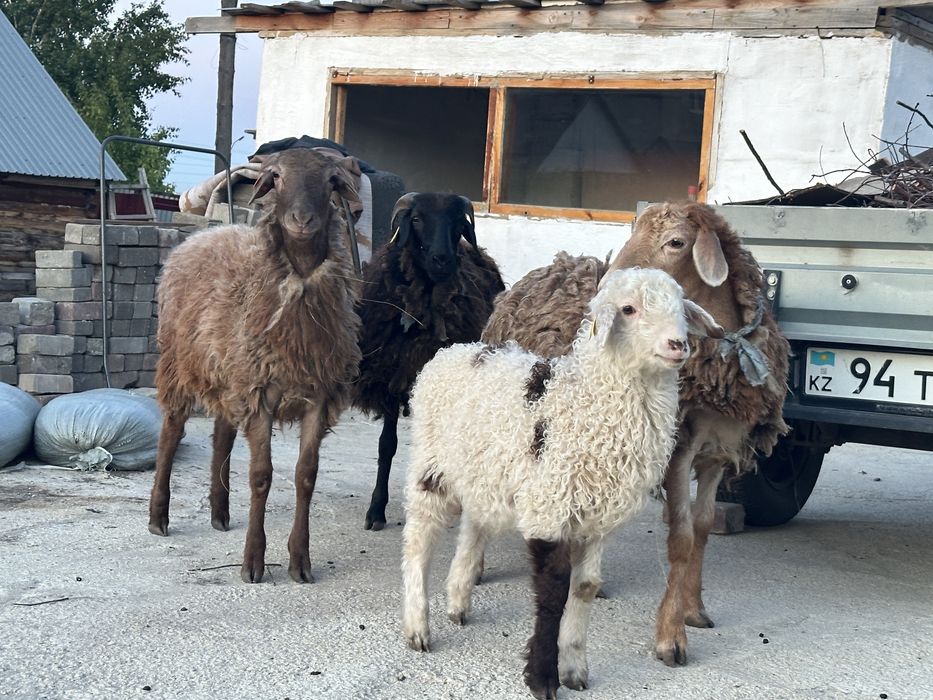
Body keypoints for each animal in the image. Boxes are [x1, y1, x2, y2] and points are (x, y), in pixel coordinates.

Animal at [147, 148, 363, 585]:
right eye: (276, 176)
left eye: (332, 181)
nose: (302, 219)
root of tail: (203, 235)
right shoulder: (261, 394)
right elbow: (261, 476)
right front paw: (253, 562)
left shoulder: (316, 397)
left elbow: (306, 475)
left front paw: (300, 561)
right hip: (179, 363)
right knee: (171, 434)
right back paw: (158, 516)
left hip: (230, 373)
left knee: (221, 437)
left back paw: (219, 512)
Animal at [352, 192, 504, 531]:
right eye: (417, 219)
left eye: (459, 222)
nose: (442, 259)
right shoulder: (393, 377)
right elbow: (387, 445)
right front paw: (375, 510)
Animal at [402, 267, 722, 699]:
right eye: (628, 309)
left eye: (682, 309)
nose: (677, 344)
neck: (587, 402)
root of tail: (455, 351)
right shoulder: (550, 507)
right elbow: (553, 592)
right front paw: (542, 678)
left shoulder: (598, 520)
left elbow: (584, 587)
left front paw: (574, 668)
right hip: (431, 465)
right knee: (418, 541)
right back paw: (418, 627)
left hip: (483, 470)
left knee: (474, 524)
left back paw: (458, 601)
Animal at [482, 200, 791, 667]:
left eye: (675, 242)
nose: (605, 290)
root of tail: (549, 266)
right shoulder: (678, 449)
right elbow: (681, 537)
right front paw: (671, 638)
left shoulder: (717, 452)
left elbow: (702, 528)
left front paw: (694, 609)